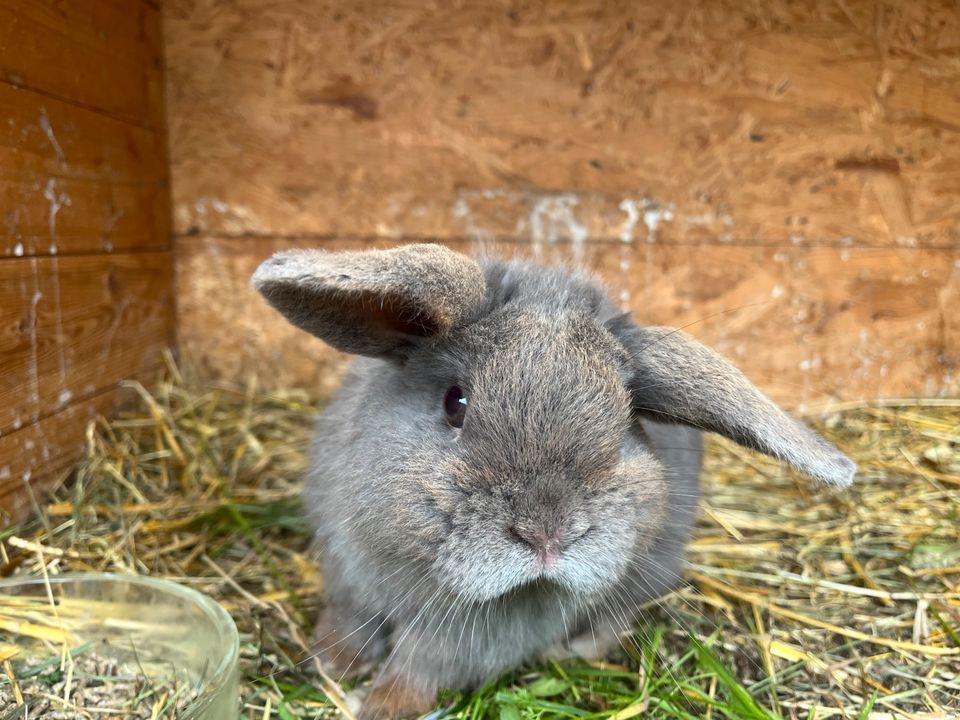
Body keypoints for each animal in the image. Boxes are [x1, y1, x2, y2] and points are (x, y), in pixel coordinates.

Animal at [249, 243, 856, 720]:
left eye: (628, 422)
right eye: (455, 402)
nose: (549, 534)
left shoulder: (464, 641)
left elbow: (419, 670)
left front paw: (378, 707)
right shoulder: (346, 575)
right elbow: (348, 625)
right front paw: (329, 664)